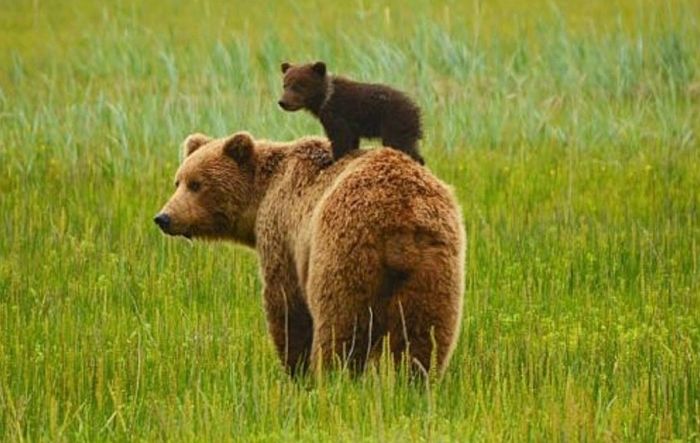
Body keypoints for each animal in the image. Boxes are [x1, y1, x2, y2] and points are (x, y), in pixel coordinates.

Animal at [154, 132, 464, 378]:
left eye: (197, 184)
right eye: (178, 181)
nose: (164, 217)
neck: (262, 195)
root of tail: (400, 217)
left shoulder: (282, 232)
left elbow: (286, 303)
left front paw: (295, 369)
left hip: (343, 252)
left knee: (341, 323)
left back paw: (333, 377)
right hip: (435, 264)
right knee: (425, 332)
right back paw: (413, 381)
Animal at [276, 61, 424, 166]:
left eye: (299, 85)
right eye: (285, 84)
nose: (283, 102)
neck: (324, 100)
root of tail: (416, 109)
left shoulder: (337, 115)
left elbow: (340, 139)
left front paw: (332, 159)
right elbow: (351, 141)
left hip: (394, 123)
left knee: (400, 145)